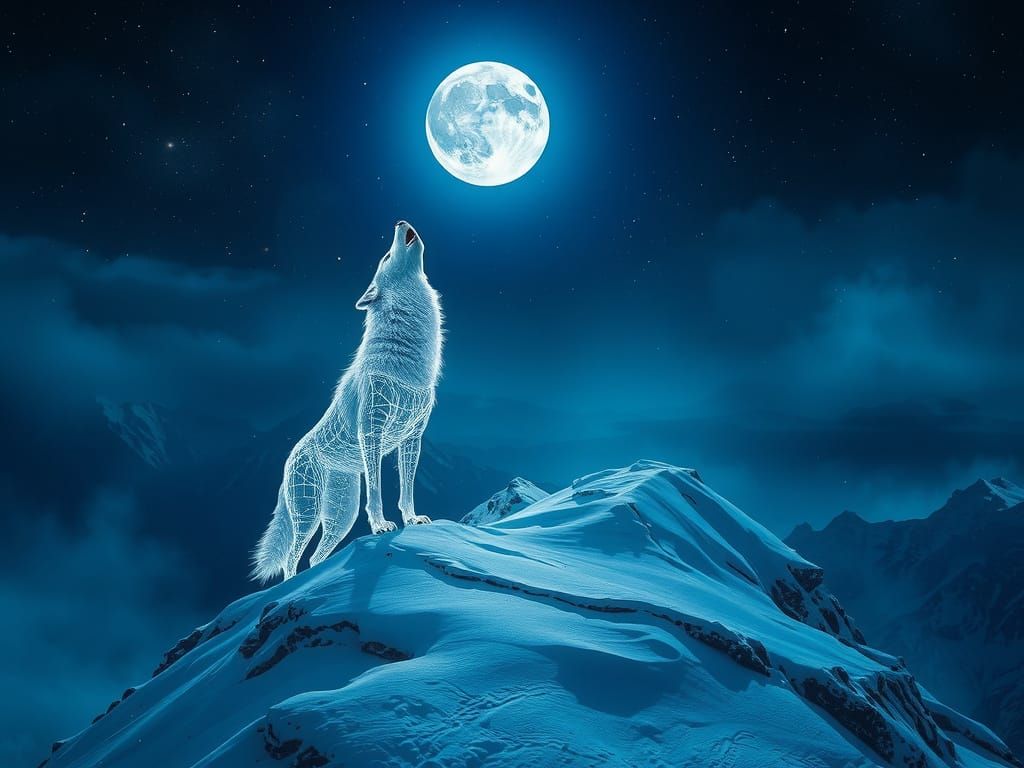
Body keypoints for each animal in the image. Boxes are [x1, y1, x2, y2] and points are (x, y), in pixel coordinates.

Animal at [251, 220, 443, 583]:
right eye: (385, 257)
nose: (399, 222)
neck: (406, 367)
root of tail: (288, 460)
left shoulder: (413, 438)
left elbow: (407, 489)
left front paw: (412, 520)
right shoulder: (372, 432)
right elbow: (378, 492)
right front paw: (381, 526)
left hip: (341, 516)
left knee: (315, 558)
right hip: (309, 513)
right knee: (291, 558)